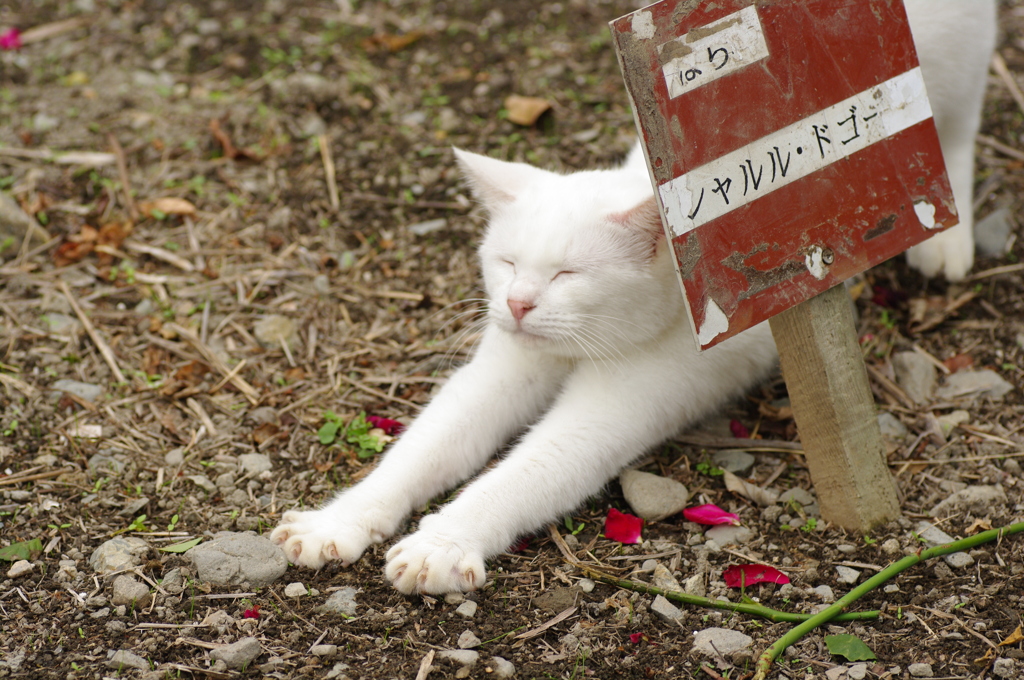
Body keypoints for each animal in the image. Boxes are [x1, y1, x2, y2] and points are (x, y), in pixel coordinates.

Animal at [270, 0, 991, 593]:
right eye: (507, 264)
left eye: (567, 275)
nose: (518, 304)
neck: (583, 347)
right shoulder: (501, 371)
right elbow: (420, 451)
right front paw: (336, 523)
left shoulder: (622, 403)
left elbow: (520, 474)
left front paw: (441, 544)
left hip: (951, 68)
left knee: (955, 129)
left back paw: (943, 233)